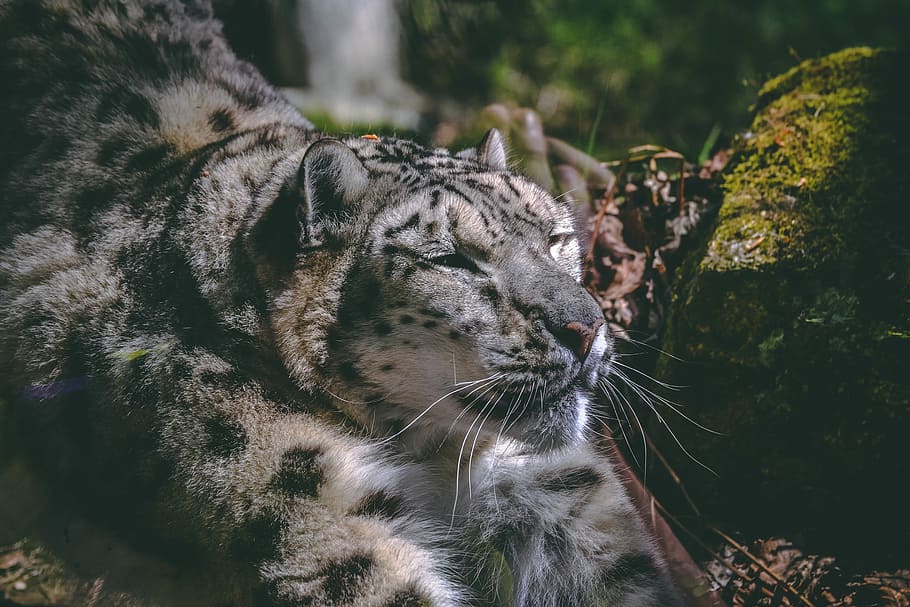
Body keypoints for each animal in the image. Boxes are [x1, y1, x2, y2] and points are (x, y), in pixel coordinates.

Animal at [0, 1, 683, 605]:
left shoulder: (558, 496)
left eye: (557, 237)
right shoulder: (309, 505)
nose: (585, 328)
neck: (437, 460)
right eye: (452, 260)